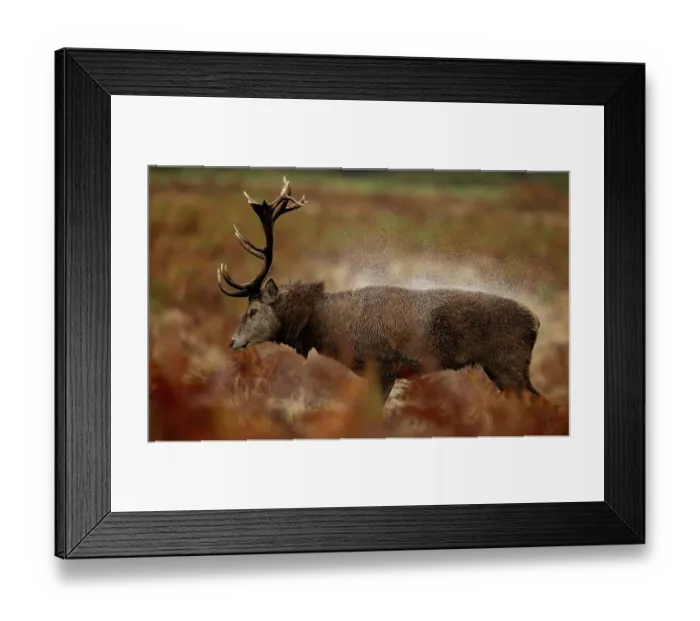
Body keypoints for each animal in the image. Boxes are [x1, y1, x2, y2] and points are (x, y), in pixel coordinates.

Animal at [217, 177, 542, 401]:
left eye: (253, 310)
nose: (232, 341)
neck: (334, 329)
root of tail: (537, 322)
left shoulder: (384, 367)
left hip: (509, 364)